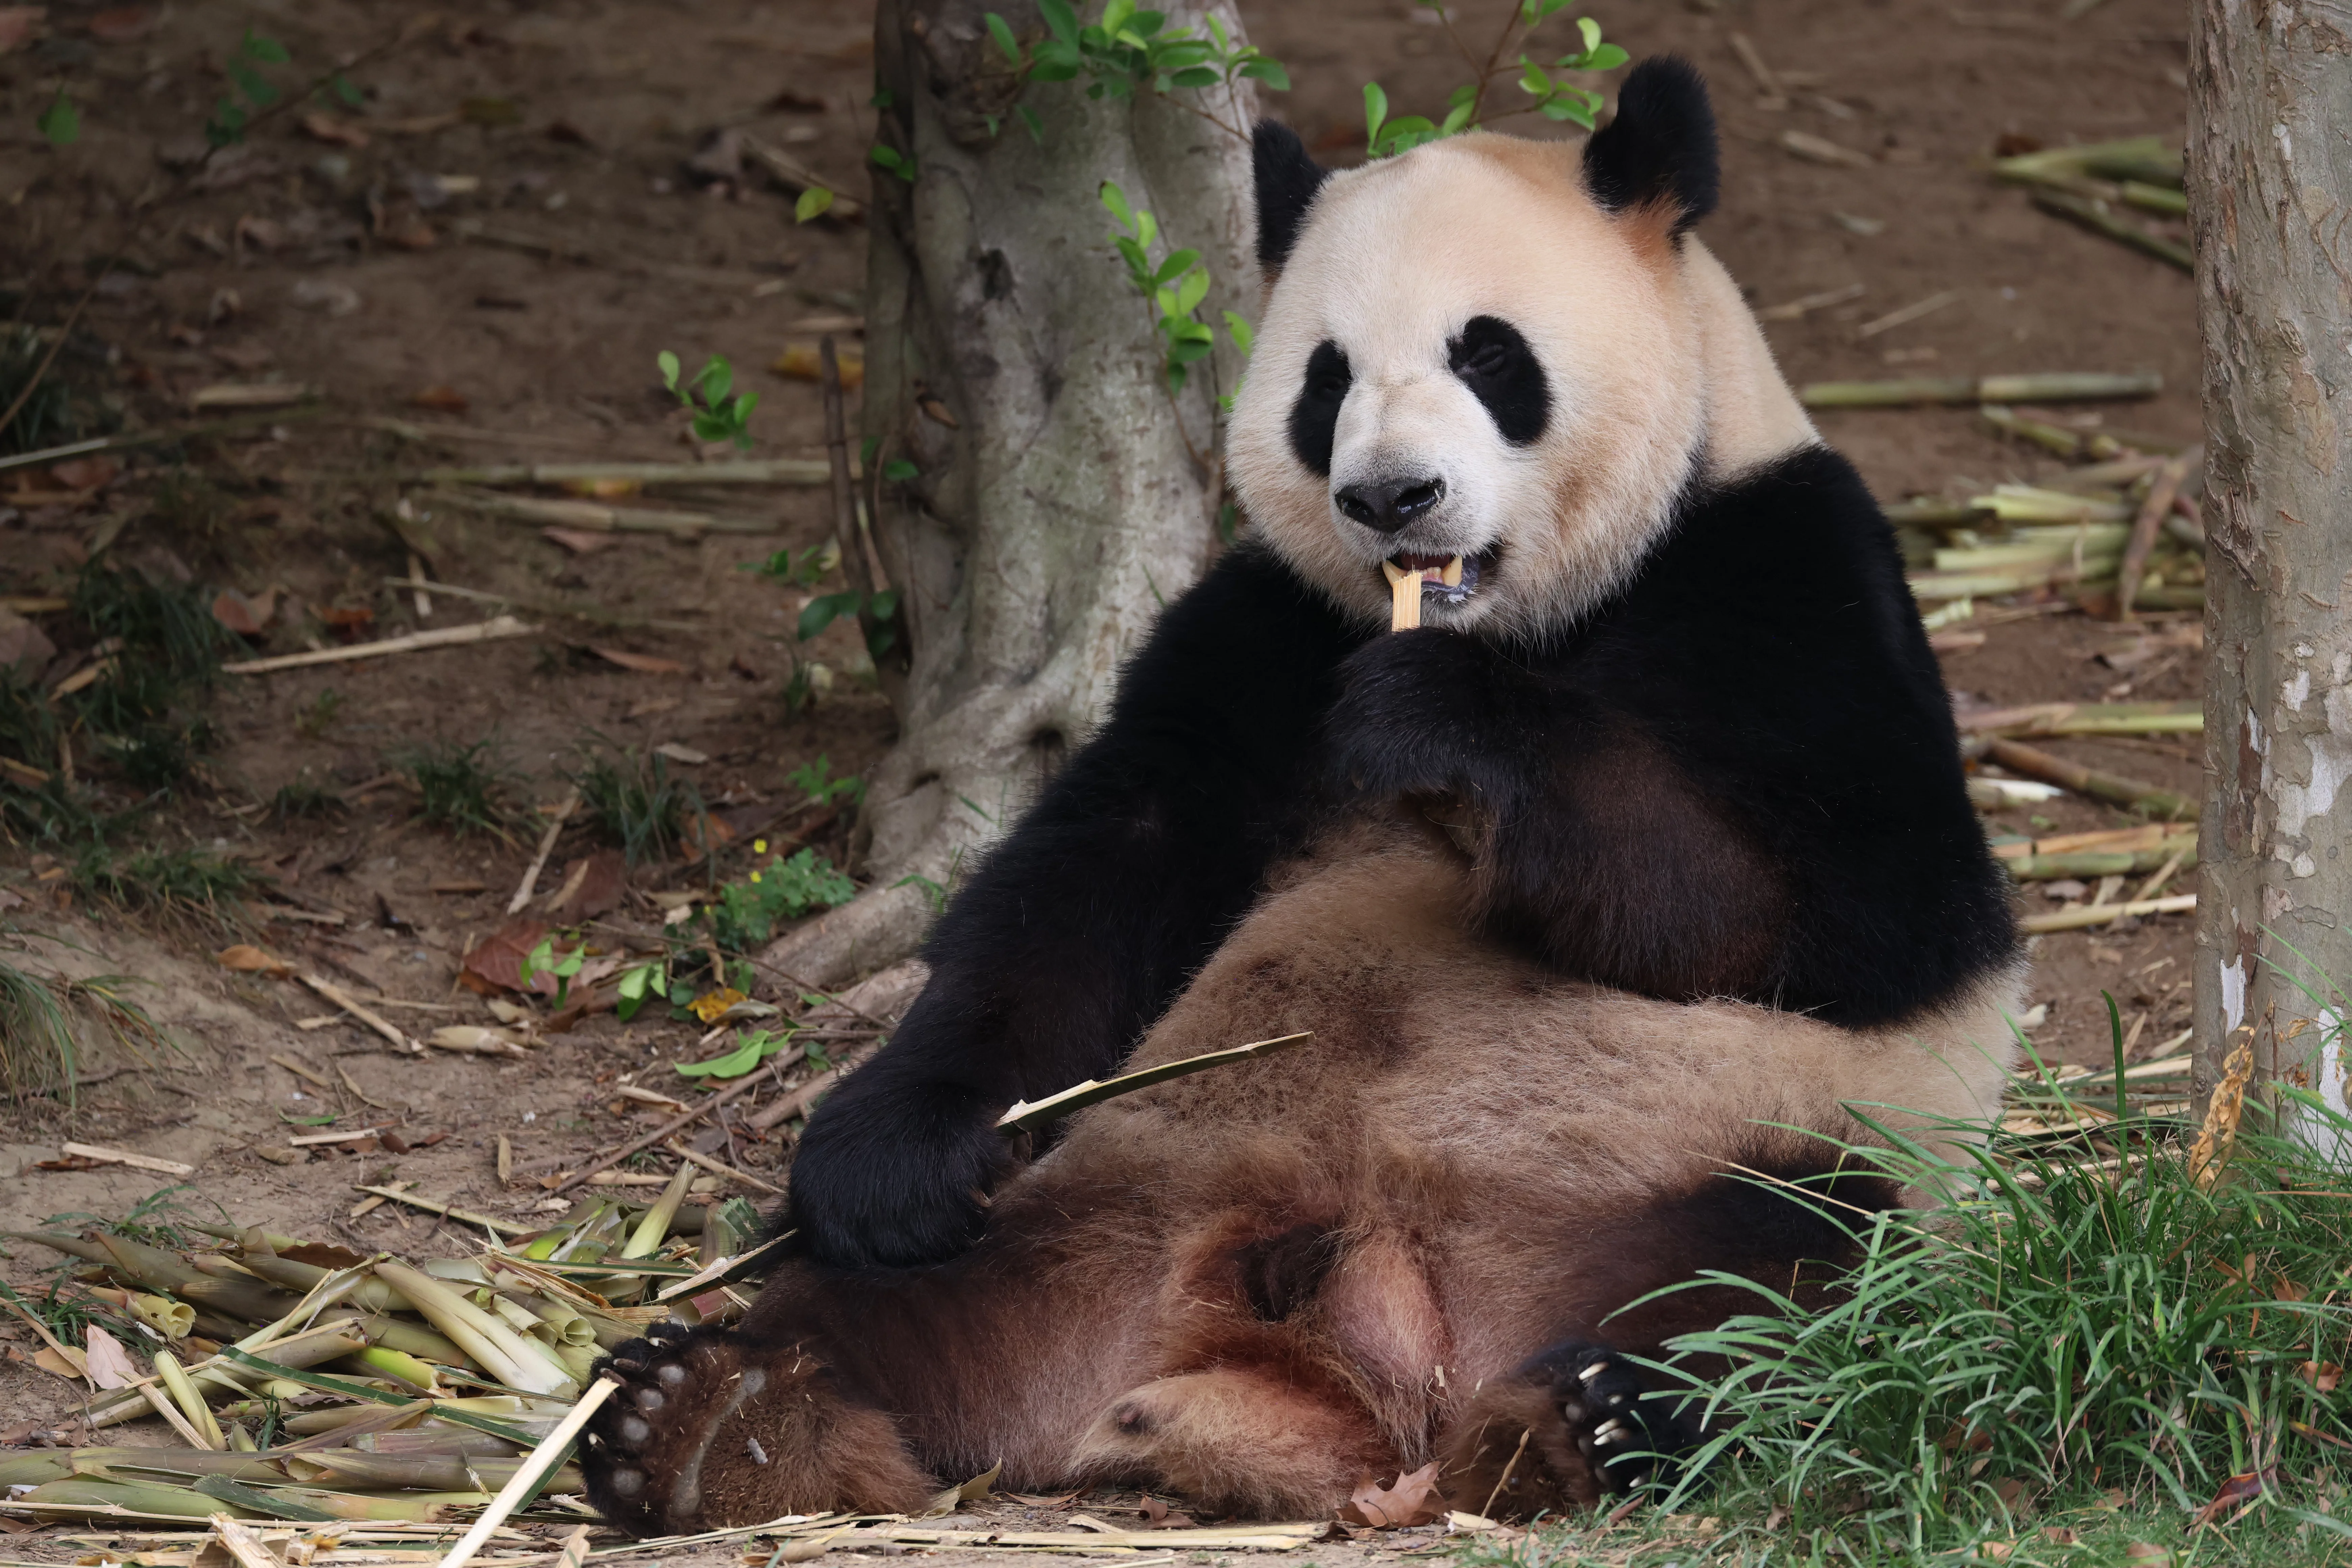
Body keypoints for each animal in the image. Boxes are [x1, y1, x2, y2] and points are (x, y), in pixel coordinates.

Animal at [578, 57, 2023, 1533]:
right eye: (1327, 381)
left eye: (1491, 357)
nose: (1391, 496)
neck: (1521, 617)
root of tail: (1345, 1352)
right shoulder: (1266, 620)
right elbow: (1095, 872)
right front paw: (883, 1161)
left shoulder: (1794, 579)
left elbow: (1852, 917)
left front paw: (1441, 730)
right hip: (1110, 1198)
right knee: (888, 1297)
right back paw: (714, 1418)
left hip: (1718, 1158)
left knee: (1791, 1279)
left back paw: (1592, 1419)